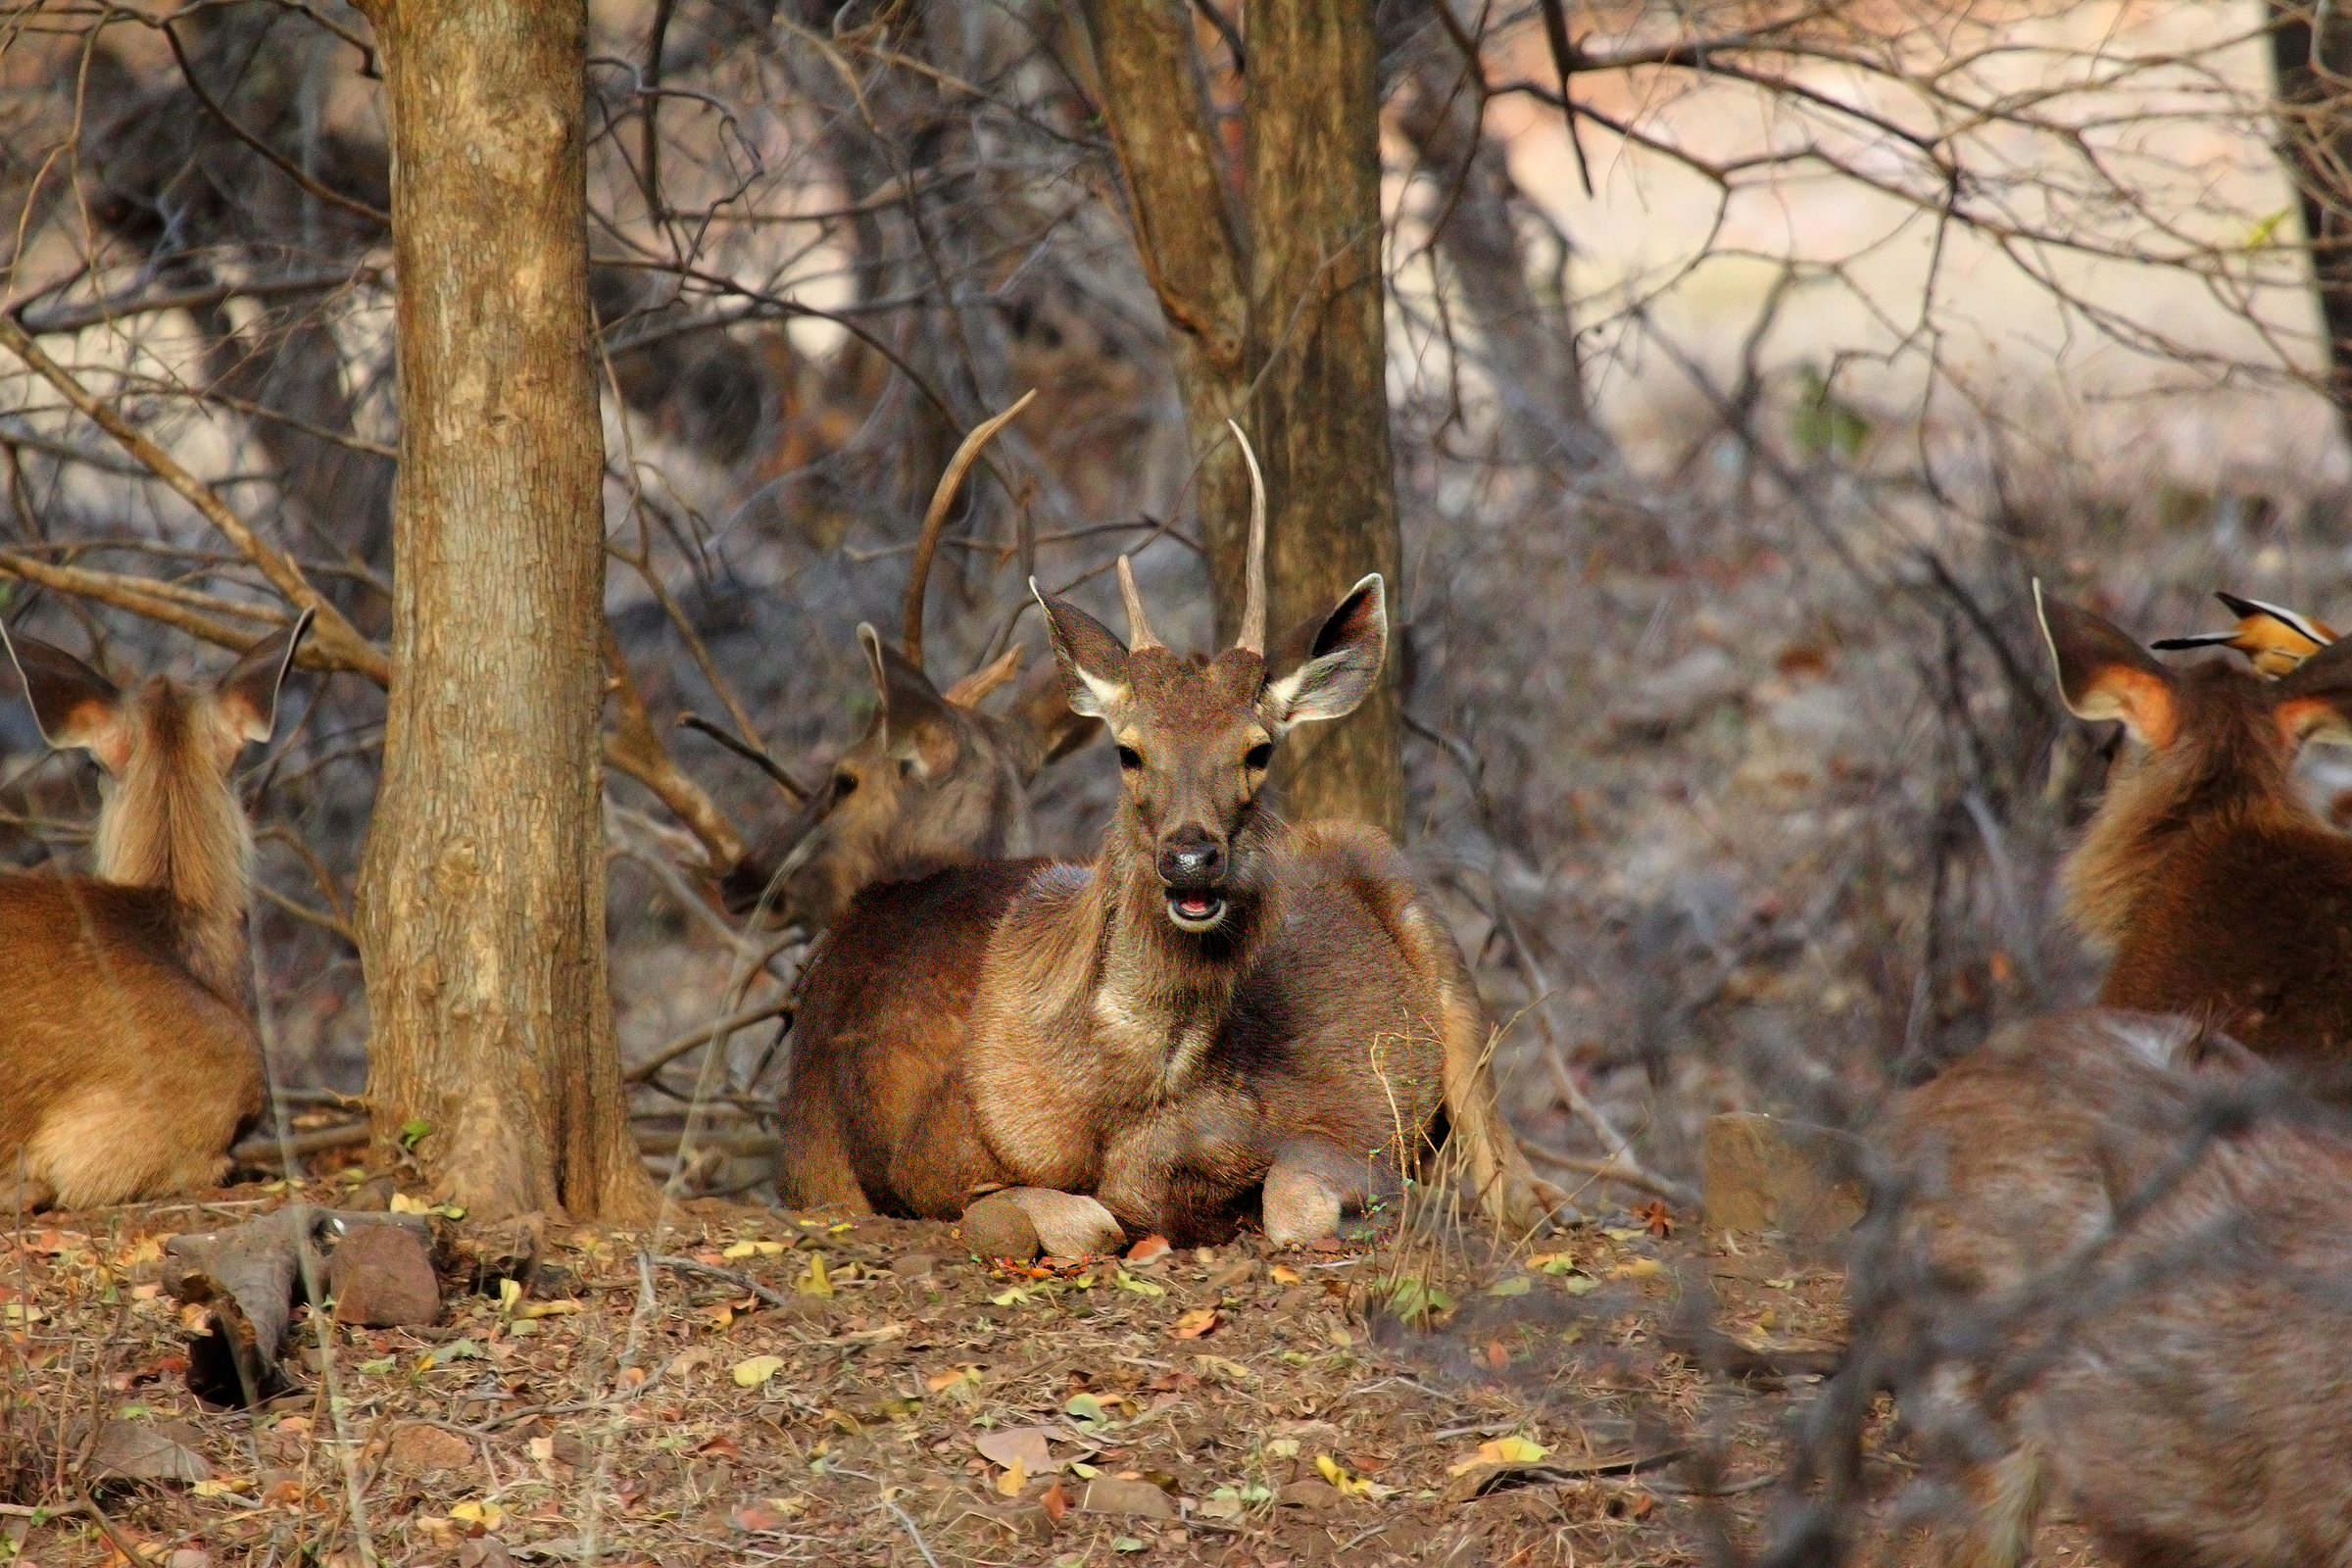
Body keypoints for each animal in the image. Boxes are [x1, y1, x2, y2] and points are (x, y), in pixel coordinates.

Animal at [778, 425, 1562, 1254]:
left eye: (1259, 749)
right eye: (1129, 751)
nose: (1191, 857)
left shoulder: (1332, 1118)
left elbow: (1291, 1200)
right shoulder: (911, 1164)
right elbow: (1068, 1218)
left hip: (1409, 899)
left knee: (1494, 1132)